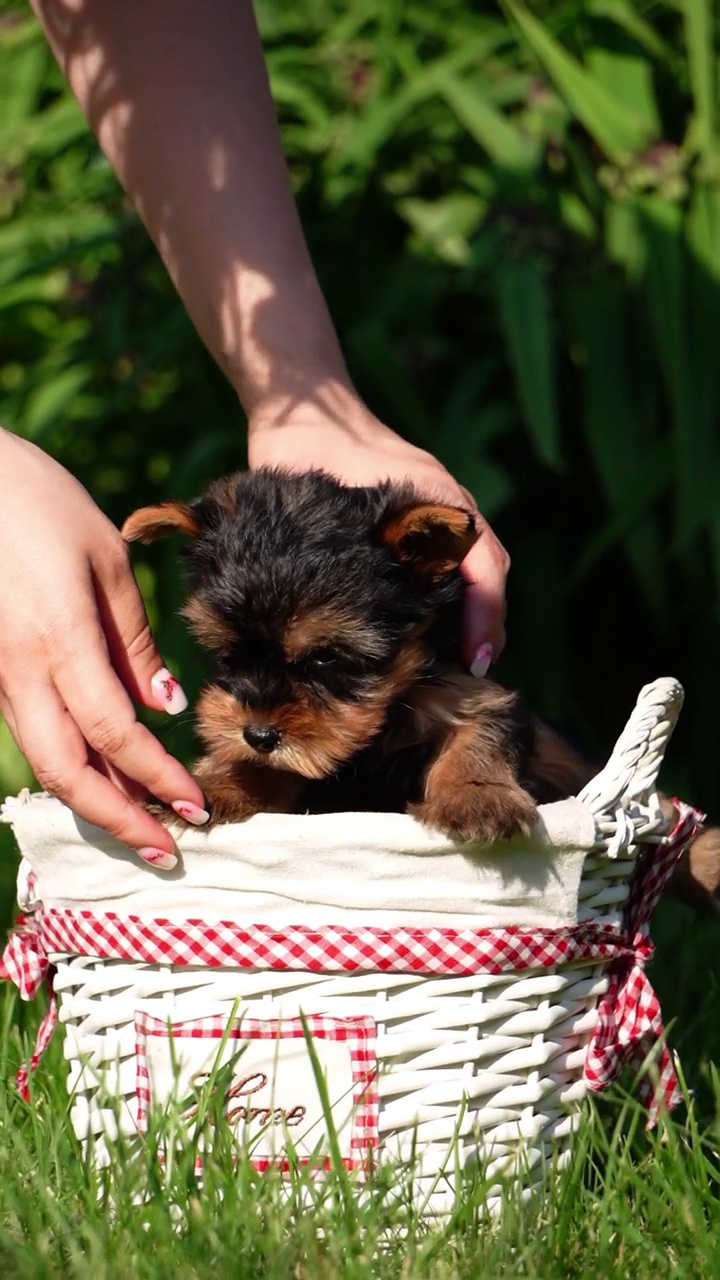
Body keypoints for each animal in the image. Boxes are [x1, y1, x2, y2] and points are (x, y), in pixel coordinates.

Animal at [122, 471, 717, 911]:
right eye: (228, 653)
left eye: (325, 657)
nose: (260, 734)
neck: (386, 710)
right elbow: (266, 771)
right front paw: (213, 786)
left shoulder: (473, 691)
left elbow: (479, 734)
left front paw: (476, 795)